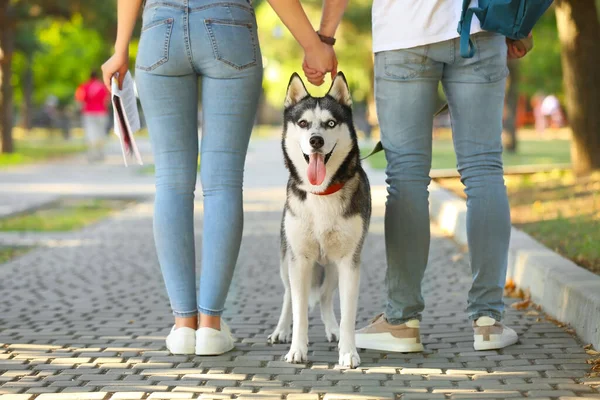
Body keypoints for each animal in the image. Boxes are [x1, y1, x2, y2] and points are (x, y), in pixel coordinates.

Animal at [268, 72, 370, 368]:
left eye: (331, 123)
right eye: (303, 123)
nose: (316, 140)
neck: (322, 192)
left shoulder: (349, 262)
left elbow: (347, 313)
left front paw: (348, 352)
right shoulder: (299, 260)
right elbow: (300, 309)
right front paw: (297, 350)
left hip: (333, 267)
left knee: (325, 297)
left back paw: (332, 329)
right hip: (286, 262)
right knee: (288, 296)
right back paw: (281, 330)